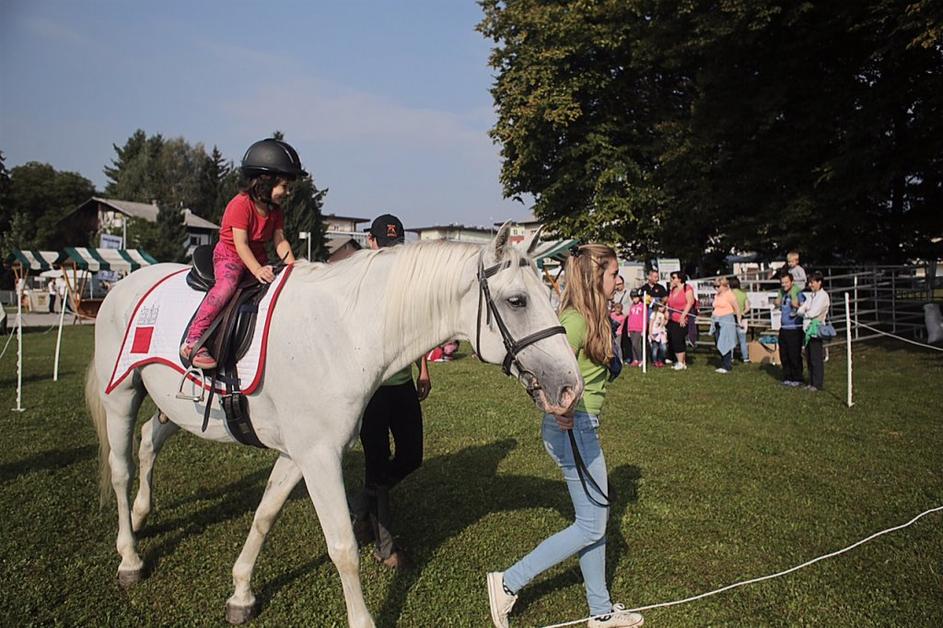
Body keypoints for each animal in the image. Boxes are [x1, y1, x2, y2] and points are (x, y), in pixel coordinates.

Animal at [86, 227, 584, 628]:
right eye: (517, 301)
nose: (571, 386)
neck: (343, 333)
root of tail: (121, 288)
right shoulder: (319, 457)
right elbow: (343, 547)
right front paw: (361, 618)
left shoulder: (299, 454)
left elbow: (265, 515)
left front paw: (241, 591)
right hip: (121, 397)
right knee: (120, 469)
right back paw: (129, 556)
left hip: (171, 407)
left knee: (149, 441)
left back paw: (141, 513)